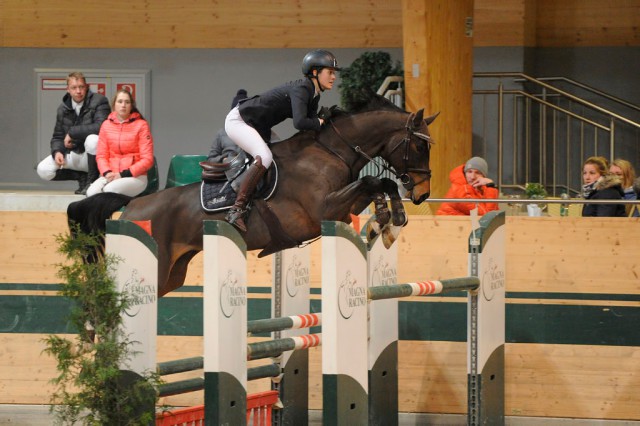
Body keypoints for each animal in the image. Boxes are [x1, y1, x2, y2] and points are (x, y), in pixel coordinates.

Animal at [67, 96, 438, 296]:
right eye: (420, 146)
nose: (423, 194)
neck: (331, 150)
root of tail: (132, 204)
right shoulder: (324, 209)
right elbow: (373, 182)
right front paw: (390, 221)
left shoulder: (340, 208)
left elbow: (380, 184)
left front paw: (387, 224)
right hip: (155, 269)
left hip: (172, 274)